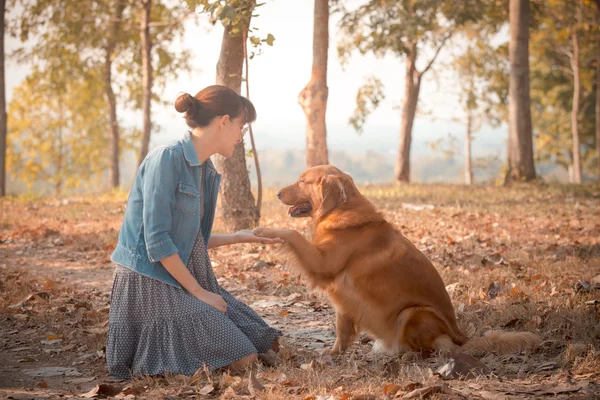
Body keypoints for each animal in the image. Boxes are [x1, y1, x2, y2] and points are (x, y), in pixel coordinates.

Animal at [253, 164, 540, 358]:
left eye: (302, 181)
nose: (277, 193)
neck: (340, 209)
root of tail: (464, 337)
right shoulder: (343, 296)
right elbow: (342, 329)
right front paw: (334, 354)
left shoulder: (322, 262)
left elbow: (291, 233)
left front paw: (264, 230)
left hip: (413, 312)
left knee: (438, 346)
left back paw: (402, 352)